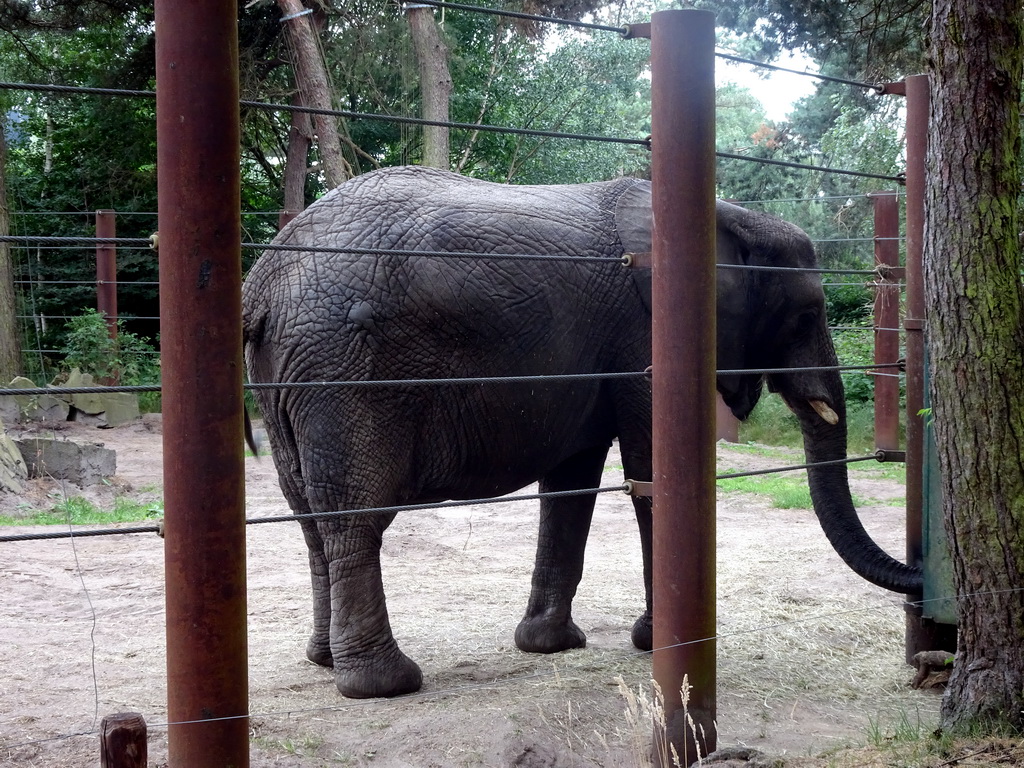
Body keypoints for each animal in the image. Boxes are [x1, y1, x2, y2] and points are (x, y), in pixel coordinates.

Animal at [241, 165, 921, 700]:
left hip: (287, 379)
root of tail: (264, 283)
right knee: (357, 516)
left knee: (310, 516)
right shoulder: (646, 338)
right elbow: (648, 470)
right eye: (806, 314)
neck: (725, 214)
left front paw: (550, 645)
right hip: (344, 372)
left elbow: (573, 484)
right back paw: (385, 684)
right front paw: (657, 643)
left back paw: (324, 661)